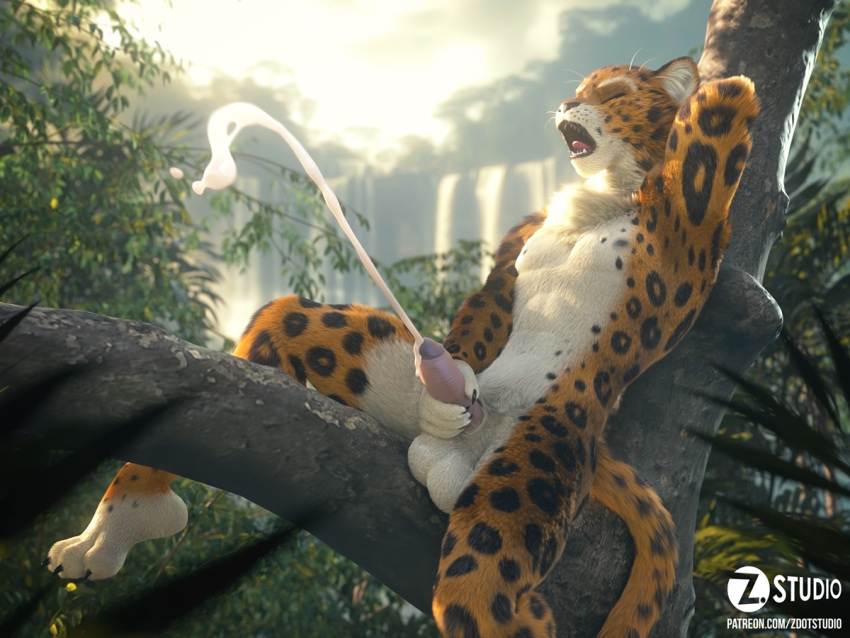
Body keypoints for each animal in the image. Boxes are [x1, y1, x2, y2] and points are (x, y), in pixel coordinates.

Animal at [46, 57, 758, 638]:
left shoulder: (685, 237)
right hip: (341, 352)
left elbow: (707, 152)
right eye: (581, 89)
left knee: (482, 598)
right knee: (268, 335)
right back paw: (108, 534)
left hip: (525, 479)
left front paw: (720, 88)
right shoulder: (506, 272)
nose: (564, 105)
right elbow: (483, 312)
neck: (600, 188)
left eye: (610, 91)